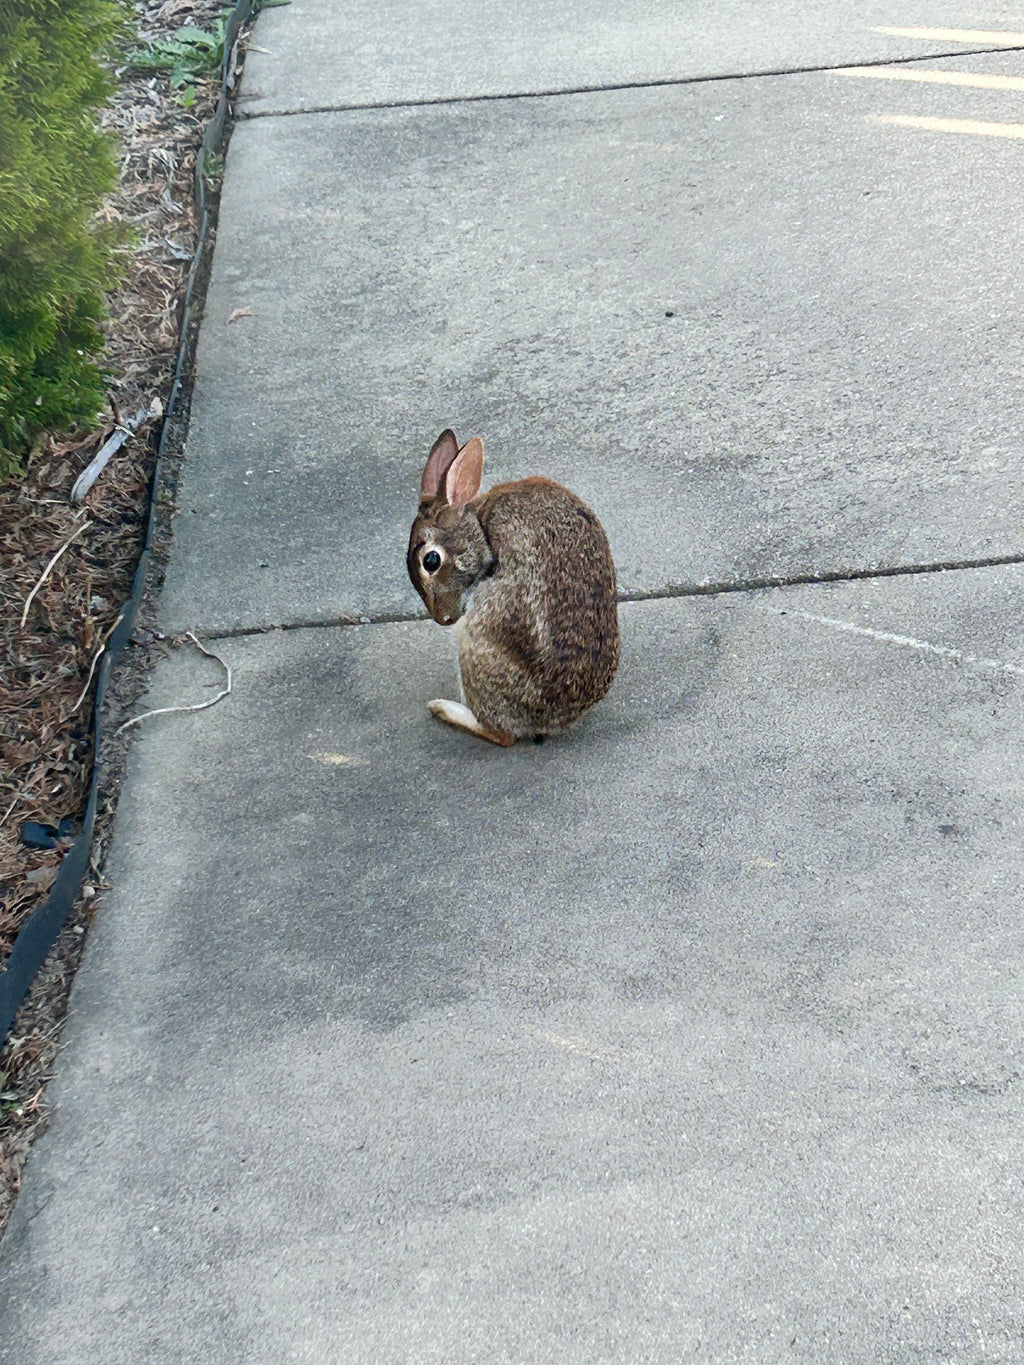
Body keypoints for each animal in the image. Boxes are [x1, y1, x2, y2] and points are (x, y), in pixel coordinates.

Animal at [407, 428, 619, 746]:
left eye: (431, 560)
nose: (443, 618)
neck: (479, 525)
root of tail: (550, 720)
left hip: (475, 643)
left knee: (502, 735)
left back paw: (445, 709)